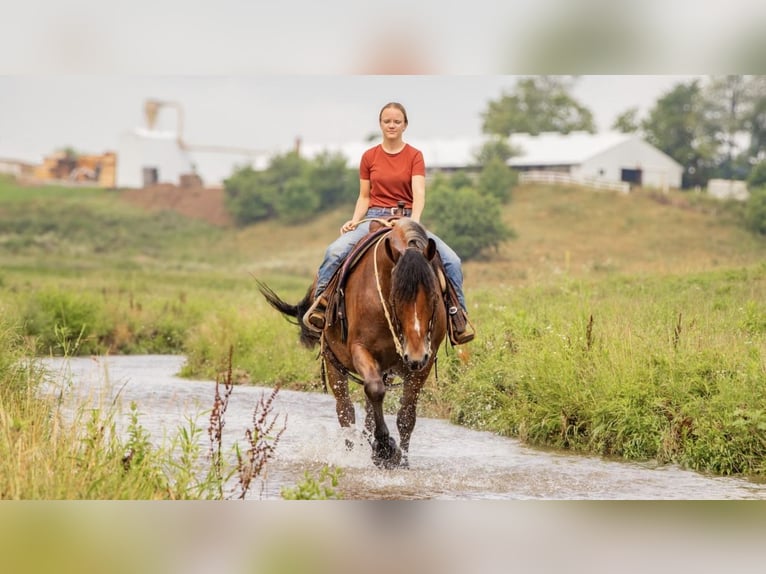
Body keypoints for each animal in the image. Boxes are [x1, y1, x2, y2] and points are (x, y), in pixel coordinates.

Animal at [258, 218, 450, 470]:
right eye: (396, 298)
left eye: (435, 297)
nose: (415, 356)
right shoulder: (361, 350)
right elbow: (374, 392)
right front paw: (385, 449)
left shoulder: (424, 362)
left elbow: (406, 416)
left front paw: (401, 461)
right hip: (334, 364)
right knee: (346, 411)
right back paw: (351, 452)